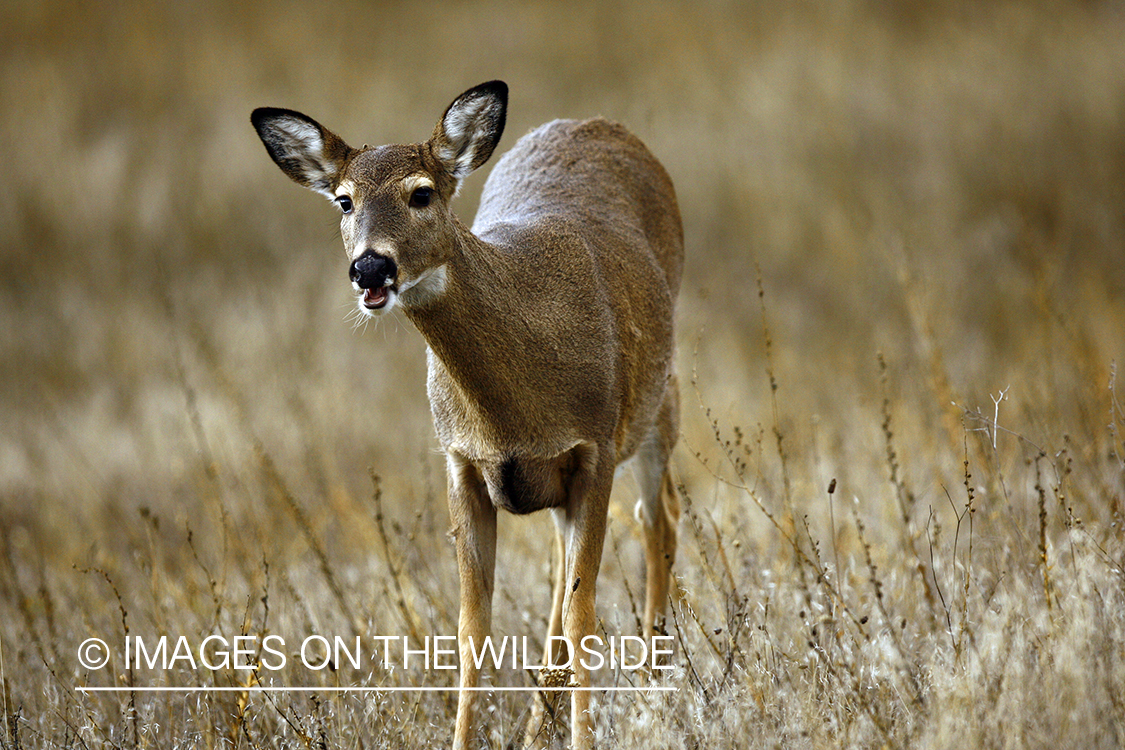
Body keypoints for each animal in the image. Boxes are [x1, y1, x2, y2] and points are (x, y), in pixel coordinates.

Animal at [250, 82, 679, 750]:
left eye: (422, 192)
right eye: (344, 200)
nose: (370, 268)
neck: (512, 416)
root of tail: (595, 123)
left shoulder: (596, 447)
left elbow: (583, 616)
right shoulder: (461, 462)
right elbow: (472, 626)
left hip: (656, 405)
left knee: (660, 521)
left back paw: (655, 679)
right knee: (571, 563)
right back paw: (540, 724)